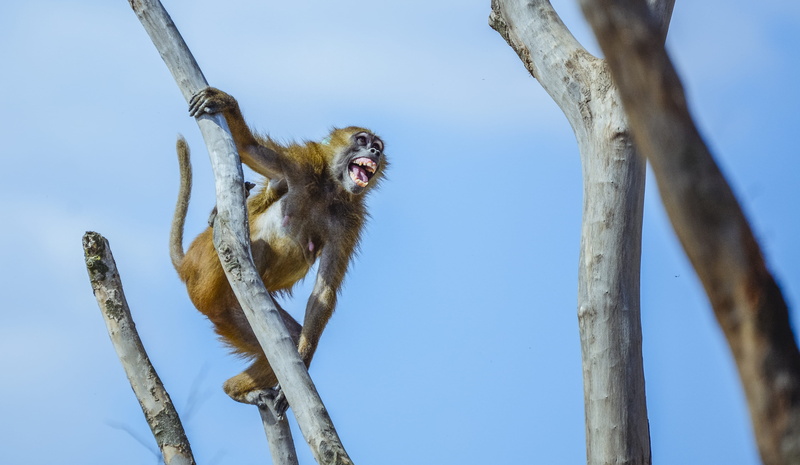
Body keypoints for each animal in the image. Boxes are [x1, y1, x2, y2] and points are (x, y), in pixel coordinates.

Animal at [169, 86, 387, 408]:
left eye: (378, 147)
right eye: (362, 141)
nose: (374, 152)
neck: (329, 189)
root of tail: (186, 266)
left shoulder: (349, 221)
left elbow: (323, 294)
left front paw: (304, 358)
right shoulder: (302, 165)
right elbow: (249, 148)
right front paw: (225, 102)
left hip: (230, 311)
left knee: (286, 338)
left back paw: (234, 390)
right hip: (207, 275)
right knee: (254, 245)